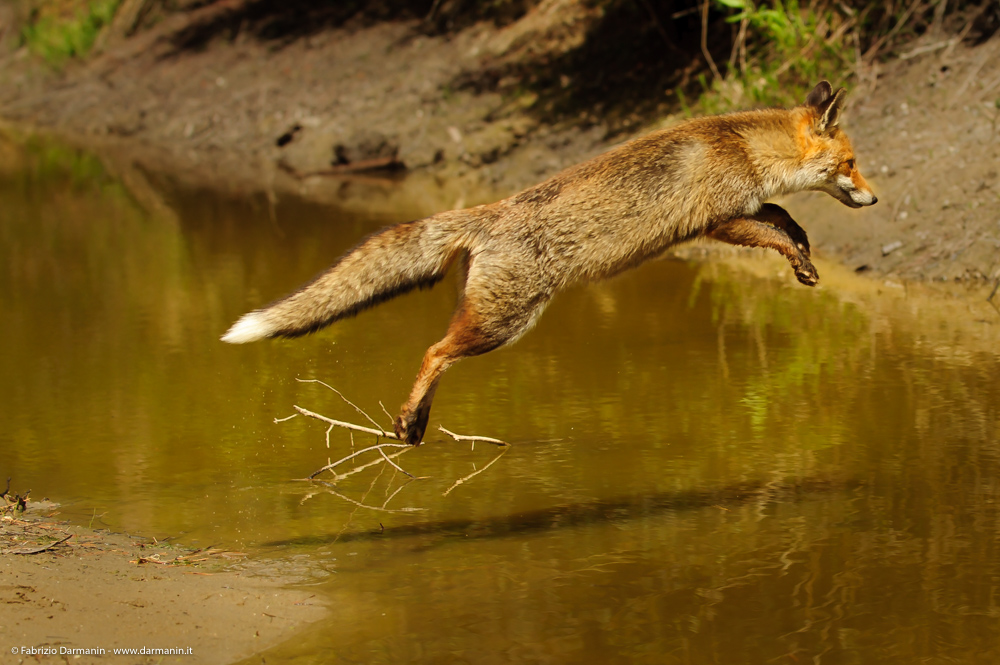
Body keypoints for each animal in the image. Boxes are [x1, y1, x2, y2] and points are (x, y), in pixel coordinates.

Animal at [225, 81, 876, 446]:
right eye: (851, 164)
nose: (875, 200)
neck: (743, 147)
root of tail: (487, 213)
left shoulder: (740, 210)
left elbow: (787, 219)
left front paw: (805, 256)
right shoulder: (717, 221)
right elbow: (775, 230)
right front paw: (798, 258)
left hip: (496, 321)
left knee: (437, 353)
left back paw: (414, 423)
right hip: (503, 324)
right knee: (434, 352)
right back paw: (409, 421)